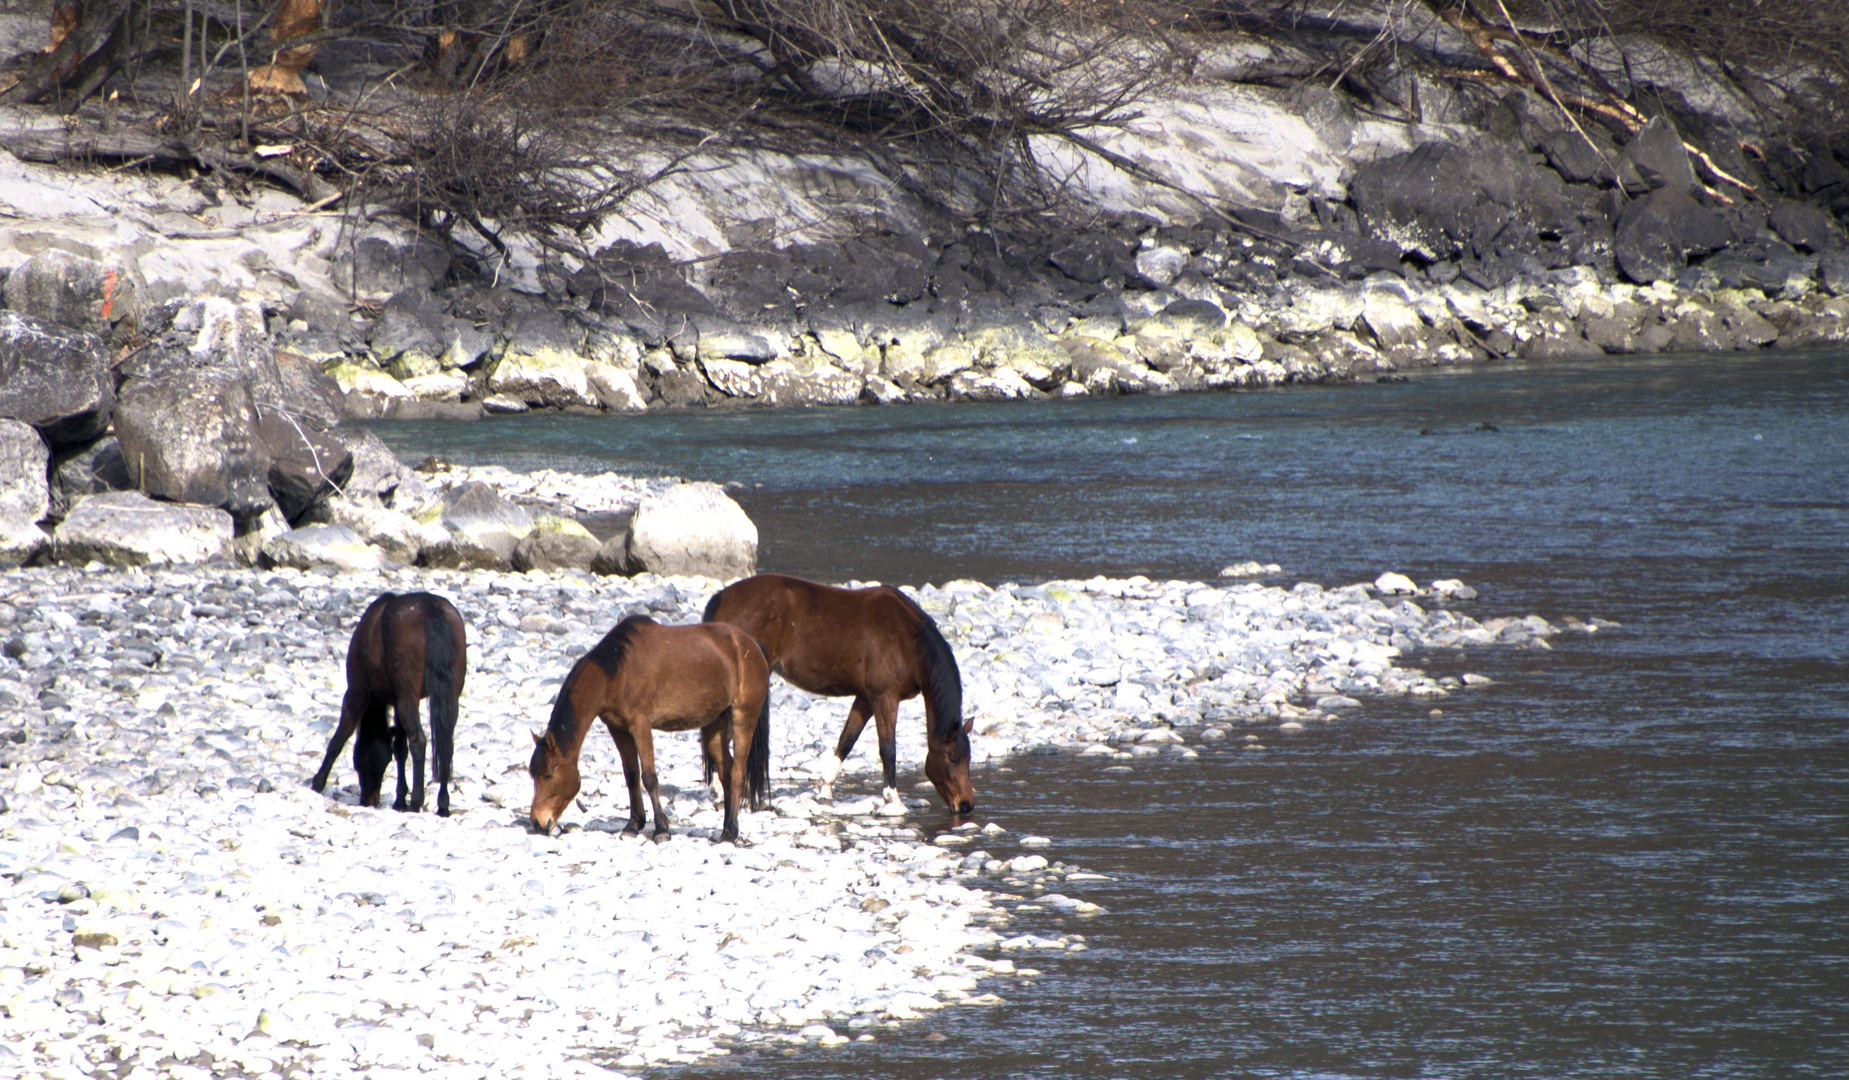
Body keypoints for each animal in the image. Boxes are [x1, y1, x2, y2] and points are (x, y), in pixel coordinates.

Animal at [312, 595, 469, 813]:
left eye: (359, 763)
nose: (369, 801)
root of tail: (431, 608)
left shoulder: (357, 692)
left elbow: (340, 737)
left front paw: (318, 782)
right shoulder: (397, 701)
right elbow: (400, 749)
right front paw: (400, 799)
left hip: (406, 696)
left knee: (419, 740)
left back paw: (417, 801)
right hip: (448, 696)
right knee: (446, 745)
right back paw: (443, 805)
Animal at [532, 617, 769, 843]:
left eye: (549, 774)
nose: (536, 822)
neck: (617, 672)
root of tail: (751, 644)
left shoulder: (640, 724)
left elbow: (649, 777)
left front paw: (661, 829)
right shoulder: (618, 729)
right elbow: (631, 775)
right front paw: (633, 824)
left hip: (744, 718)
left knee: (737, 774)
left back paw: (731, 833)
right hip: (714, 728)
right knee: (726, 774)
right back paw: (727, 828)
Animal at [698, 573, 976, 810]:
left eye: (968, 758)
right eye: (952, 758)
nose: (966, 805)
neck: (909, 639)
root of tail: (723, 596)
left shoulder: (866, 698)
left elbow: (847, 740)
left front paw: (825, 787)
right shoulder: (885, 697)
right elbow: (888, 747)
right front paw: (893, 798)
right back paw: (720, 790)